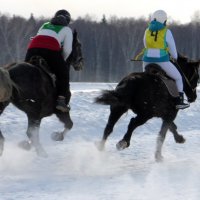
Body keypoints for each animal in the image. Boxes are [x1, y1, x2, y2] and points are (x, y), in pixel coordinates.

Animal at [0, 30, 83, 158]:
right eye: (78, 45)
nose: (81, 63)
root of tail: (9, 71)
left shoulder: (36, 114)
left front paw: (26, 145)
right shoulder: (60, 112)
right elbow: (69, 124)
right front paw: (57, 136)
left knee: (30, 132)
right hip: (34, 109)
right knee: (31, 132)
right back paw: (42, 152)